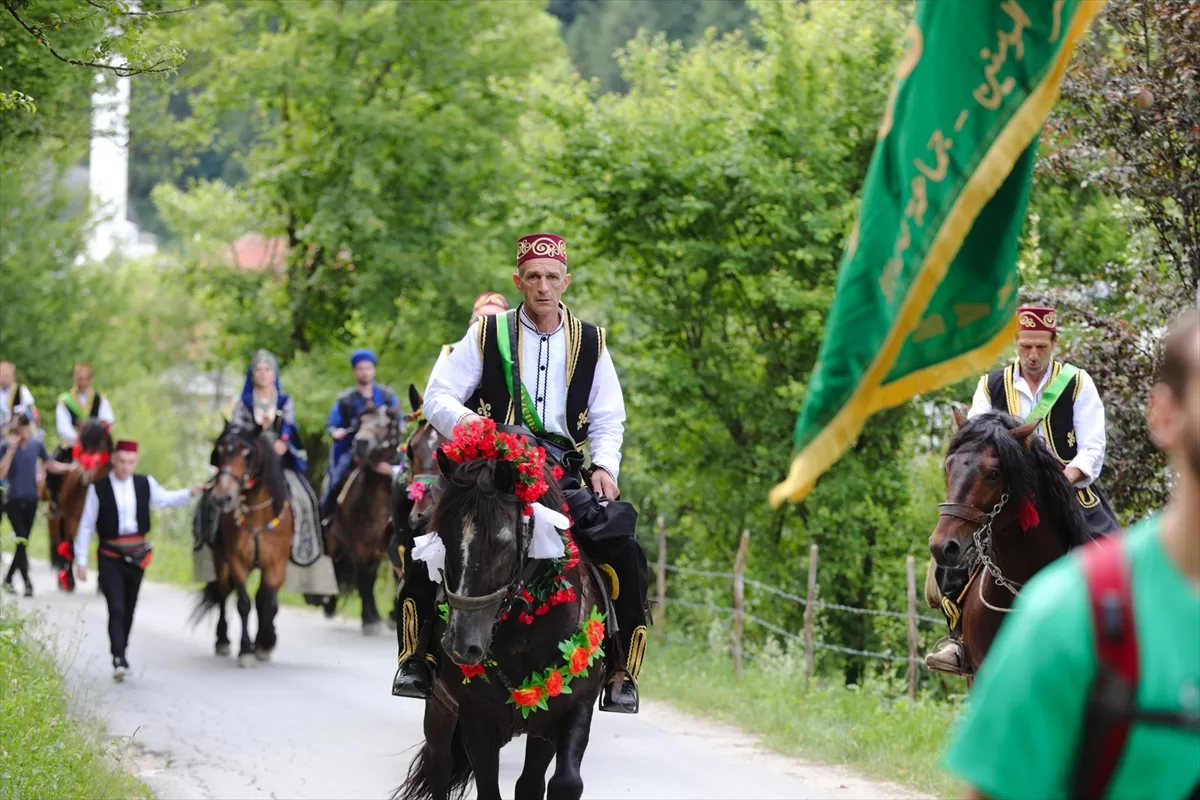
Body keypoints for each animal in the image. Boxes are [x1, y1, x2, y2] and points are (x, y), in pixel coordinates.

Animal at [46, 422, 112, 592]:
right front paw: (69, 581)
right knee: (61, 543)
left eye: (100, 443)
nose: (86, 475)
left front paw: (102, 584)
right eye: (82, 444)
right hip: (57, 518)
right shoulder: (73, 519)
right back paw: (63, 580)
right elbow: (71, 547)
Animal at [194, 422, 295, 666]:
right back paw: (222, 640)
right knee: (222, 594)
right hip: (222, 563)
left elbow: (268, 604)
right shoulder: (236, 561)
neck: (258, 516)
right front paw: (246, 650)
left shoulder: (276, 564)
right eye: (220, 451)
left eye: (247, 453)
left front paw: (265, 642)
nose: (222, 498)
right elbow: (243, 603)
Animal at [324, 402, 403, 633]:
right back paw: (329, 605)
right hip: (335, 541)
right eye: (361, 422)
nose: (360, 443)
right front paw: (370, 619)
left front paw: (390, 616)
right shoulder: (359, 544)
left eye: (384, 425)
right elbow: (365, 577)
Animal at [398, 419, 609, 800]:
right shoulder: (477, 721)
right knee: (439, 767)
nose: (462, 645)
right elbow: (488, 789)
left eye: (504, 543)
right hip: (439, 709)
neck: (525, 632)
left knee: (528, 783)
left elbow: (563, 782)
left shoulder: (572, 709)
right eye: (441, 539)